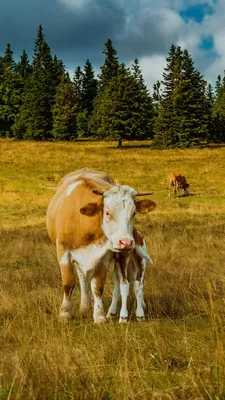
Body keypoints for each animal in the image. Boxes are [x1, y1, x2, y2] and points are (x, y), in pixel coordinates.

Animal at [46, 167, 156, 324]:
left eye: (134, 213)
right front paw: (65, 313)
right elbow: (68, 283)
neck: (82, 223)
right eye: (108, 213)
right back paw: (84, 305)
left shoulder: (105, 256)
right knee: (82, 278)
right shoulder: (63, 251)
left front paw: (99, 315)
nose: (126, 242)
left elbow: (97, 285)